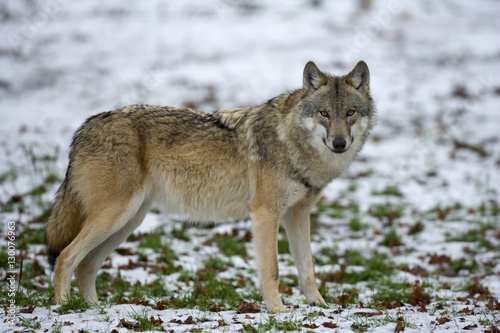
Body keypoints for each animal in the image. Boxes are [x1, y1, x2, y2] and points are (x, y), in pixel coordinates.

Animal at [47, 60, 376, 312]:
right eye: (324, 113)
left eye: (349, 113)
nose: (339, 144)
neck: (291, 140)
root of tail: (84, 127)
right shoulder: (265, 214)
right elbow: (272, 269)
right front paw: (279, 312)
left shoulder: (297, 214)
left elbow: (308, 268)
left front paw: (320, 307)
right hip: (116, 216)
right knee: (65, 258)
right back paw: (66, 309)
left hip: (128, 222)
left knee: (86, 265)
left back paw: (94, 310)